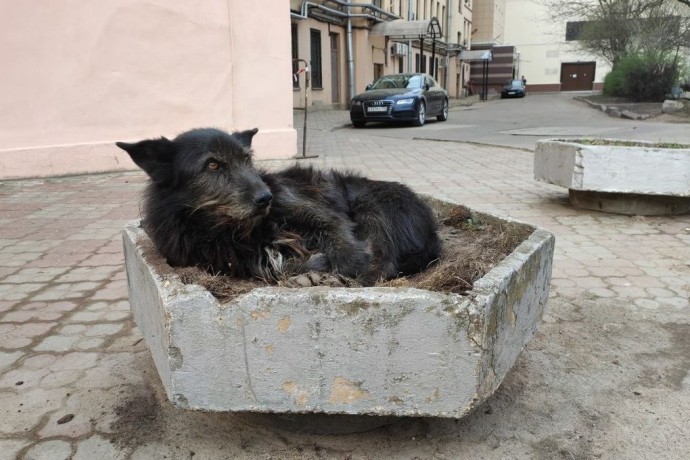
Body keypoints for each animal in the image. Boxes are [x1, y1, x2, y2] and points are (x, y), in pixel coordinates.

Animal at [117, 126, 440, 284]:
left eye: (247, 159)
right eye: (212, 165)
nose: (266, 198)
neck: (234, 229)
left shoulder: (312, 209)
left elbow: (335, 231)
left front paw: (347, 264)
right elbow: (280, 265)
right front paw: (312, 271)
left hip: (370, 204)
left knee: (384, 261)